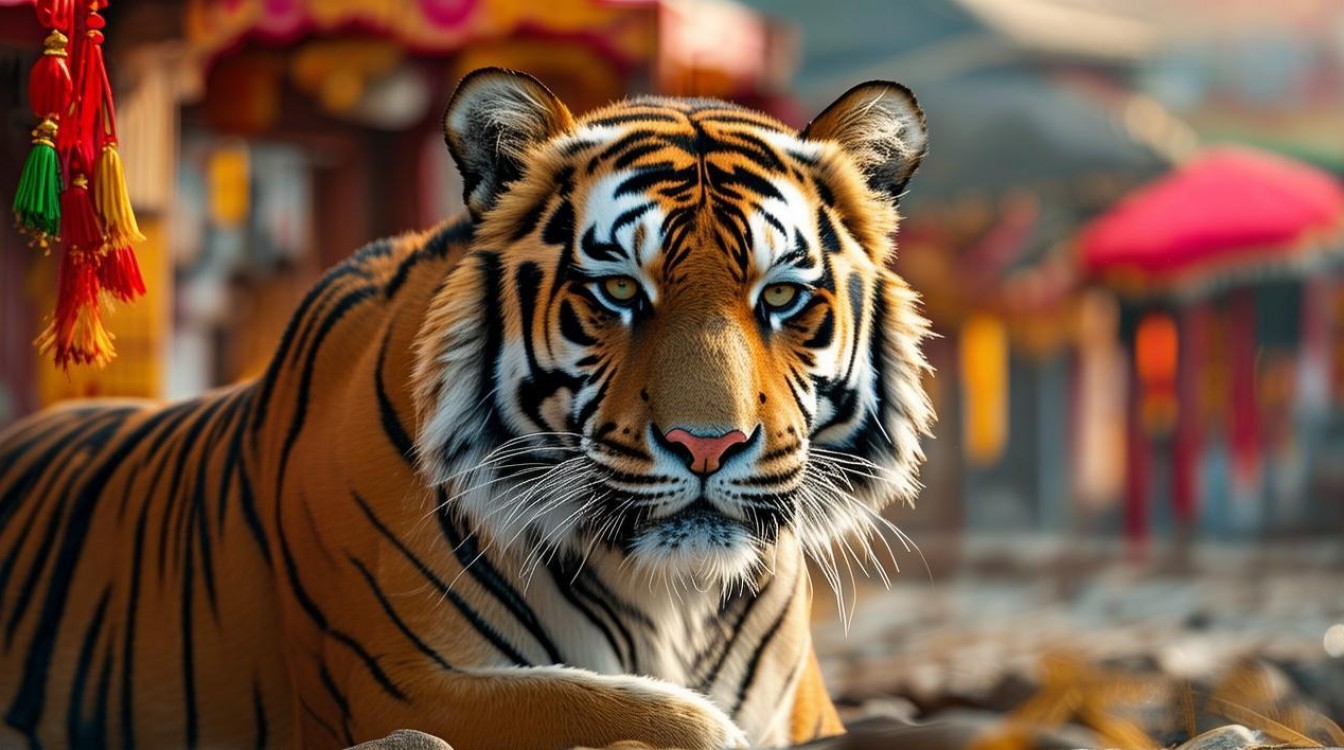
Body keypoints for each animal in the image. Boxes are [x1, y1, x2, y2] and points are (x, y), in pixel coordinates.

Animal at [0, 67, 933, 750]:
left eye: (780, 296)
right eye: (618, 291)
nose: (708, 446)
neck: (671, 596)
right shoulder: (401, 688)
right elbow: (667, 718)